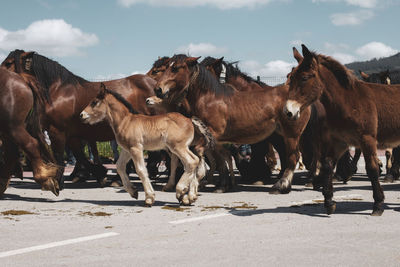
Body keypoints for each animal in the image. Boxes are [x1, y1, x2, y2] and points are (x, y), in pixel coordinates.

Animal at [155, 54, 310, 194]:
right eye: (166, 67)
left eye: (175, 68)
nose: (158, 89)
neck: (210, 99)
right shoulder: (216, 140)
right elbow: (220, 161)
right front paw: (222, 185)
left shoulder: (213, 135)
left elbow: (207, 156)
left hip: (292, 134)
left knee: (293, 157)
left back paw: (282, 186)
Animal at [286, 44, 400, 216]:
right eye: (290, 76)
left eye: (304, 78)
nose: (288, 112)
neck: (349, 101)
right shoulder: (340, 141)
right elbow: (327, 164)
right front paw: (329, 202)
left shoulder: (367, 139)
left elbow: (372, 169)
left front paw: (378, 204)